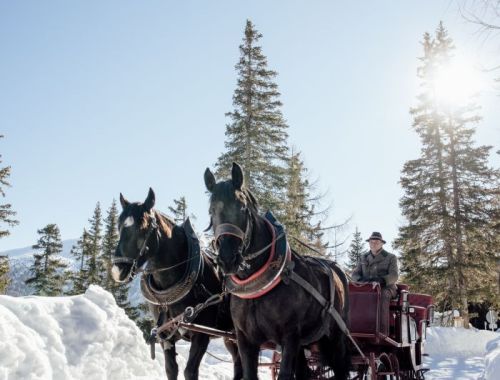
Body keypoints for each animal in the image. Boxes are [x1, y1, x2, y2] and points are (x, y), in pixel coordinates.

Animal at [112, 189, 241, 380]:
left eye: (143, 228)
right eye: (119, 226)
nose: (117, 270)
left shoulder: (201, 334)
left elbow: (190, 371)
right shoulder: (165, 335)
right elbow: (171, 369)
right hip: (230, 336)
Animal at [203, 163, 352, 380]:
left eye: (242, 207)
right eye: (211, 211)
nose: (228, 258)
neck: (258, 288)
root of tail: (338, 271)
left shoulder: (289, 337)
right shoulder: (245, 340)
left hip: (335, 338)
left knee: (340, 368)